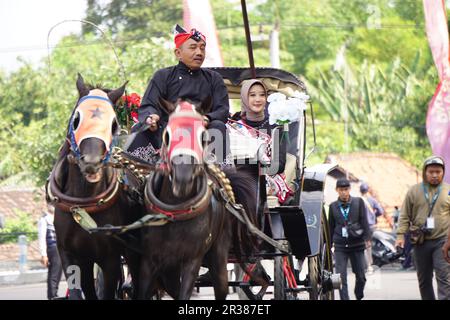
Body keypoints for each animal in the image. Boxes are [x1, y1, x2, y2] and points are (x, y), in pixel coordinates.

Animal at [46, 75, 143, 300]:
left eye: (113, 124)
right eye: (76, 120)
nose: (91, 162)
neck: (84, 202)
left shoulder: (110, 258)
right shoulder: (71, 255)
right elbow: (79, 291)